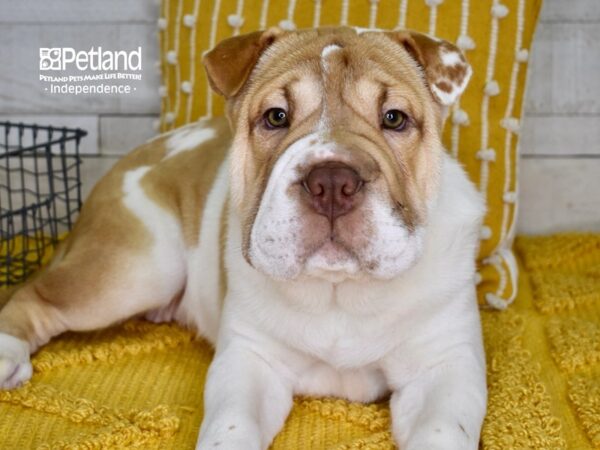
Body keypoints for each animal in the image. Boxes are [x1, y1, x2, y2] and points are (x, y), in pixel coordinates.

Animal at [0, 27, 488, 446]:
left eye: (394, 119)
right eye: (276, 117)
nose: (332, 181)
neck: (338, 291)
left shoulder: (446, 366)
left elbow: (441, 431)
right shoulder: (249, 362)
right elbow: (232, 425)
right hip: (137, 270)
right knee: (33, 296)